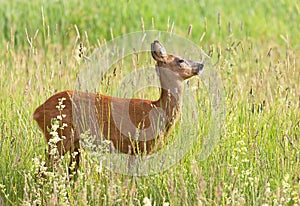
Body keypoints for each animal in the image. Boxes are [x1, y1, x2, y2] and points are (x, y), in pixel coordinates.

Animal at [34, 39, 205, 171]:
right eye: (180, 60)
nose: (201, 65)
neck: (156, 110)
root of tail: (36, 111)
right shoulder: (137, 147)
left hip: (72, 144)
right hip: (59, 137)